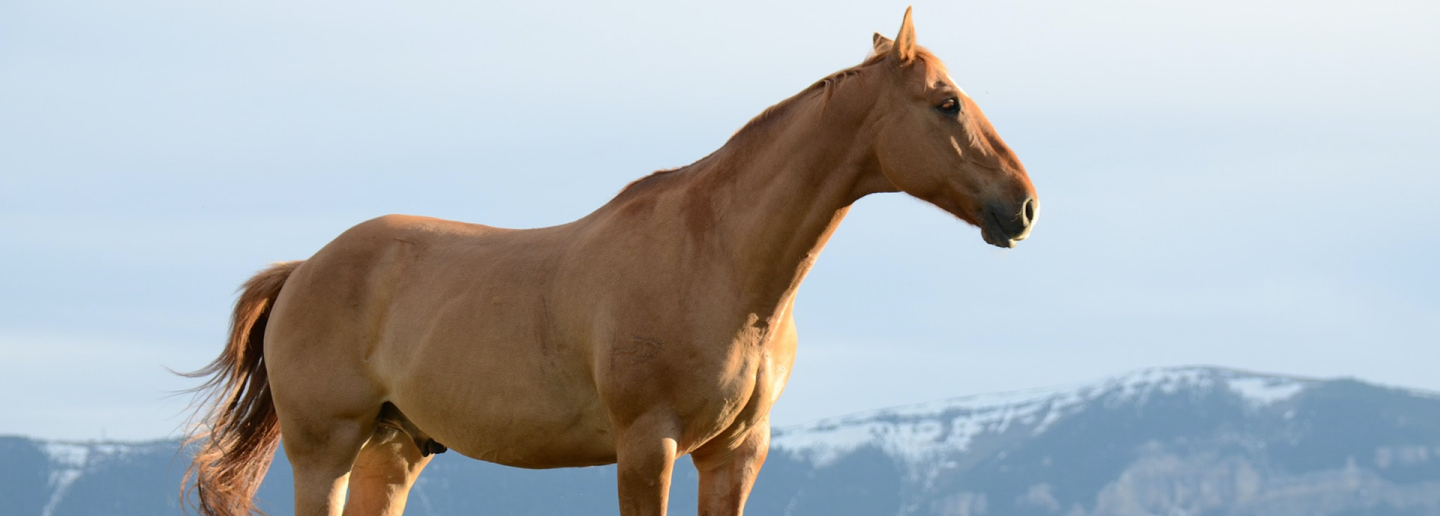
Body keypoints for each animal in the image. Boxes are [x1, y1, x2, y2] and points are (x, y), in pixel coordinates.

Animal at [182, 8, 1037, 516]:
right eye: (947, 103)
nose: (1023, 206)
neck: (718, 261)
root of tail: (304, 269)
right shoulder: (646, 446)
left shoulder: (735, 454)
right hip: (324, 449)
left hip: (391, 452)